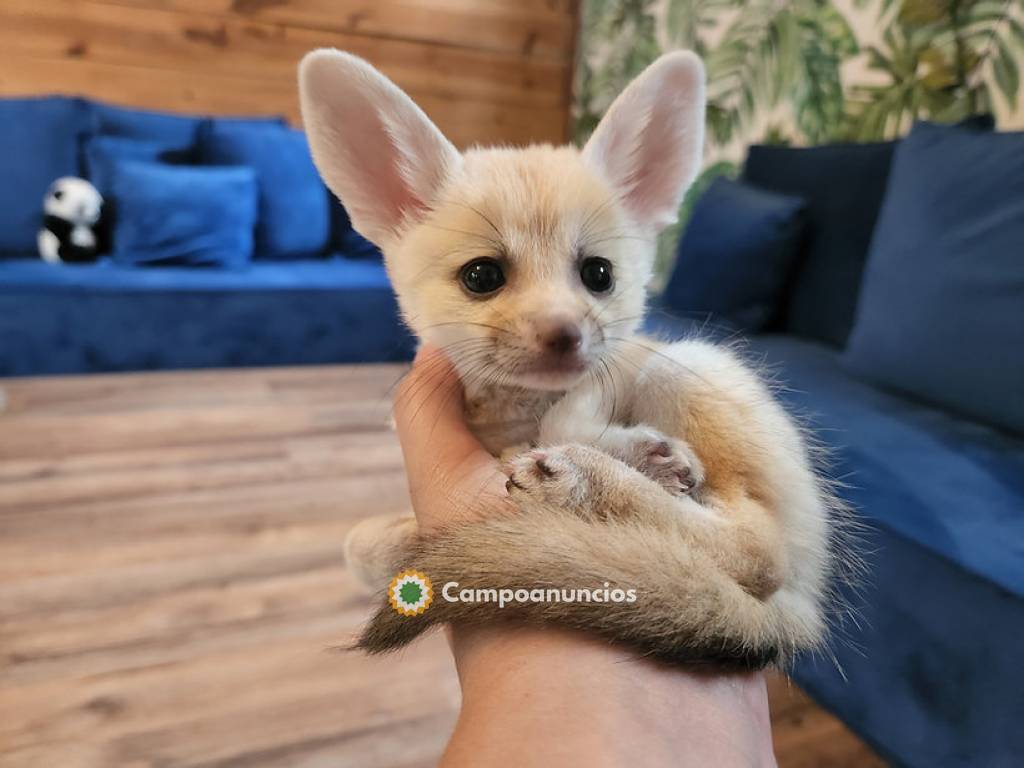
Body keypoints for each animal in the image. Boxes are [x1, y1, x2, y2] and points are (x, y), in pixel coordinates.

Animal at [299, 51, 843, 671]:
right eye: (481, 276)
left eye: (598, 274)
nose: (565, 334)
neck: (515, 415)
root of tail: (804, 612)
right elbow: (362, 548)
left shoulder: (625, 361)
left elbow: (568, 416)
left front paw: (627, 455)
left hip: (682, 365)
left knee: (759, 552)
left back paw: (588, 481)